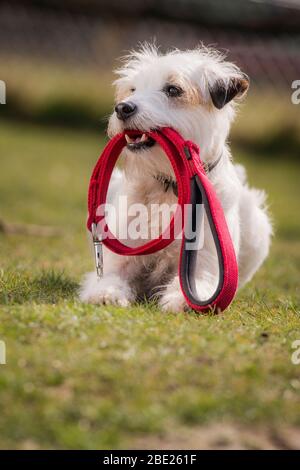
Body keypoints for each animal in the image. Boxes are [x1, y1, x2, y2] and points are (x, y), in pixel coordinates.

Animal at [79, 44, 272, 312]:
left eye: (173, 89)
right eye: (133, 89)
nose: (122, 108)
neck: (171, 185)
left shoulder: (204, 265)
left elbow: (198, 286)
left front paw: (182, 301)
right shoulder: (120, 260)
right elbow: (109, 278)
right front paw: (105, 294)